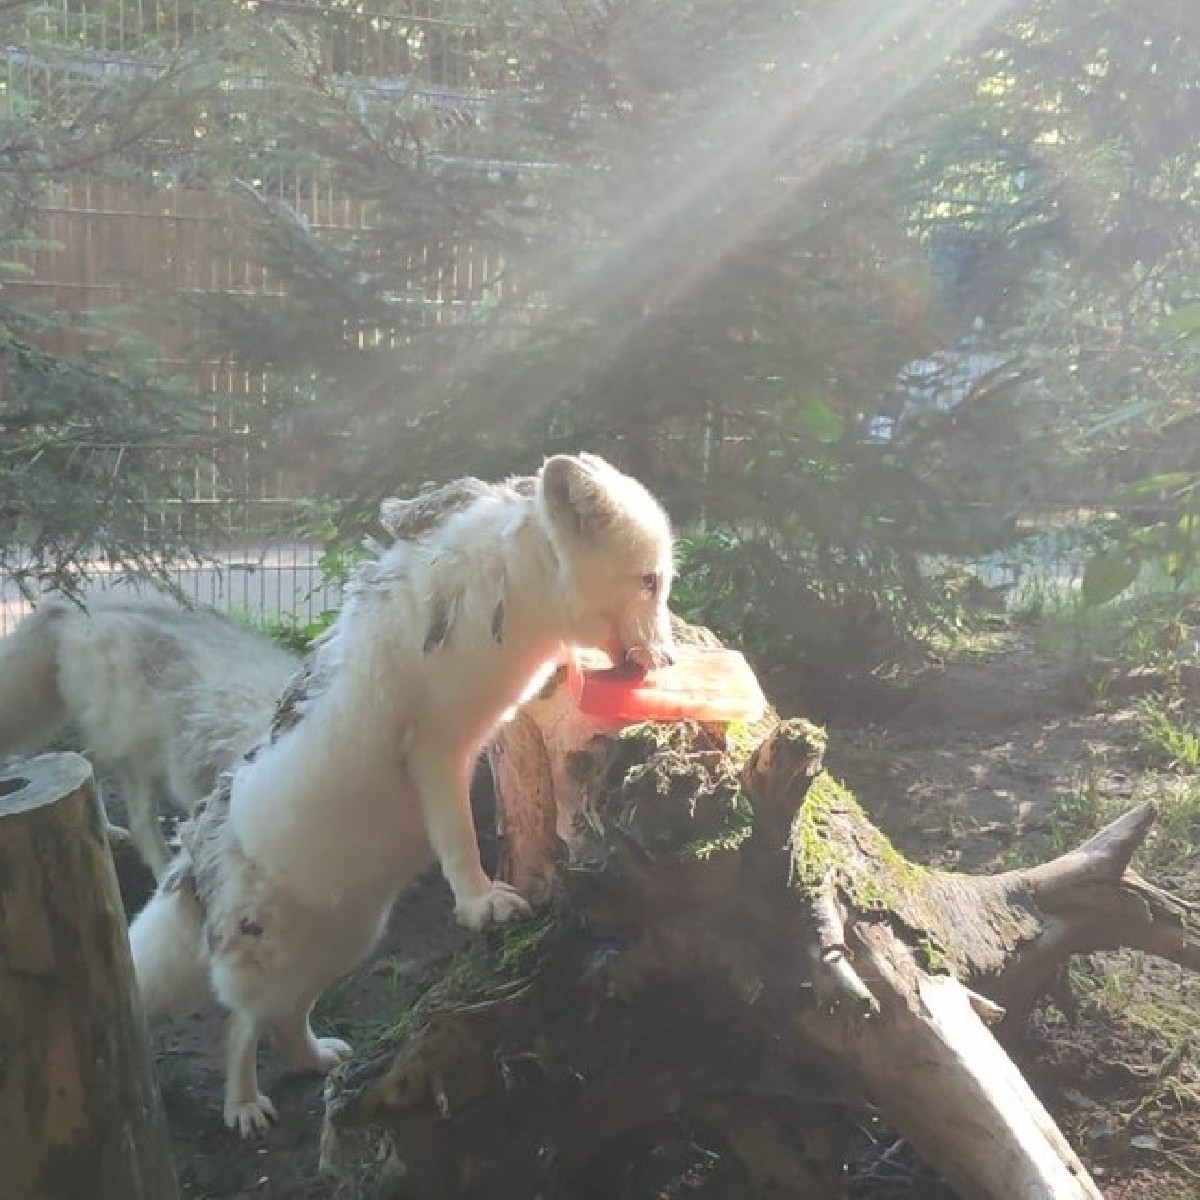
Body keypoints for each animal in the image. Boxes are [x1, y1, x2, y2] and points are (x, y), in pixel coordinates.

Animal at [0, 596, 300, 877]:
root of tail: (74, 609)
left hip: (124, 752)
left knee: (87, 763)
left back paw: (107, 831)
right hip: (142, 762)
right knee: (141, 825)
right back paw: (161, 870)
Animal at [128, 453, 677, 1136]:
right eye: (649, 581)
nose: (667, 659)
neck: (514, 589)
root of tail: (194, 855)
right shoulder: (435, 750)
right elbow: (460, 838)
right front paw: (480, 902)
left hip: (345, 943)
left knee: (280, 1019)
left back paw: (317, 1059)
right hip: (272, 955)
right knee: (239, 1028)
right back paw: (244, 1104)